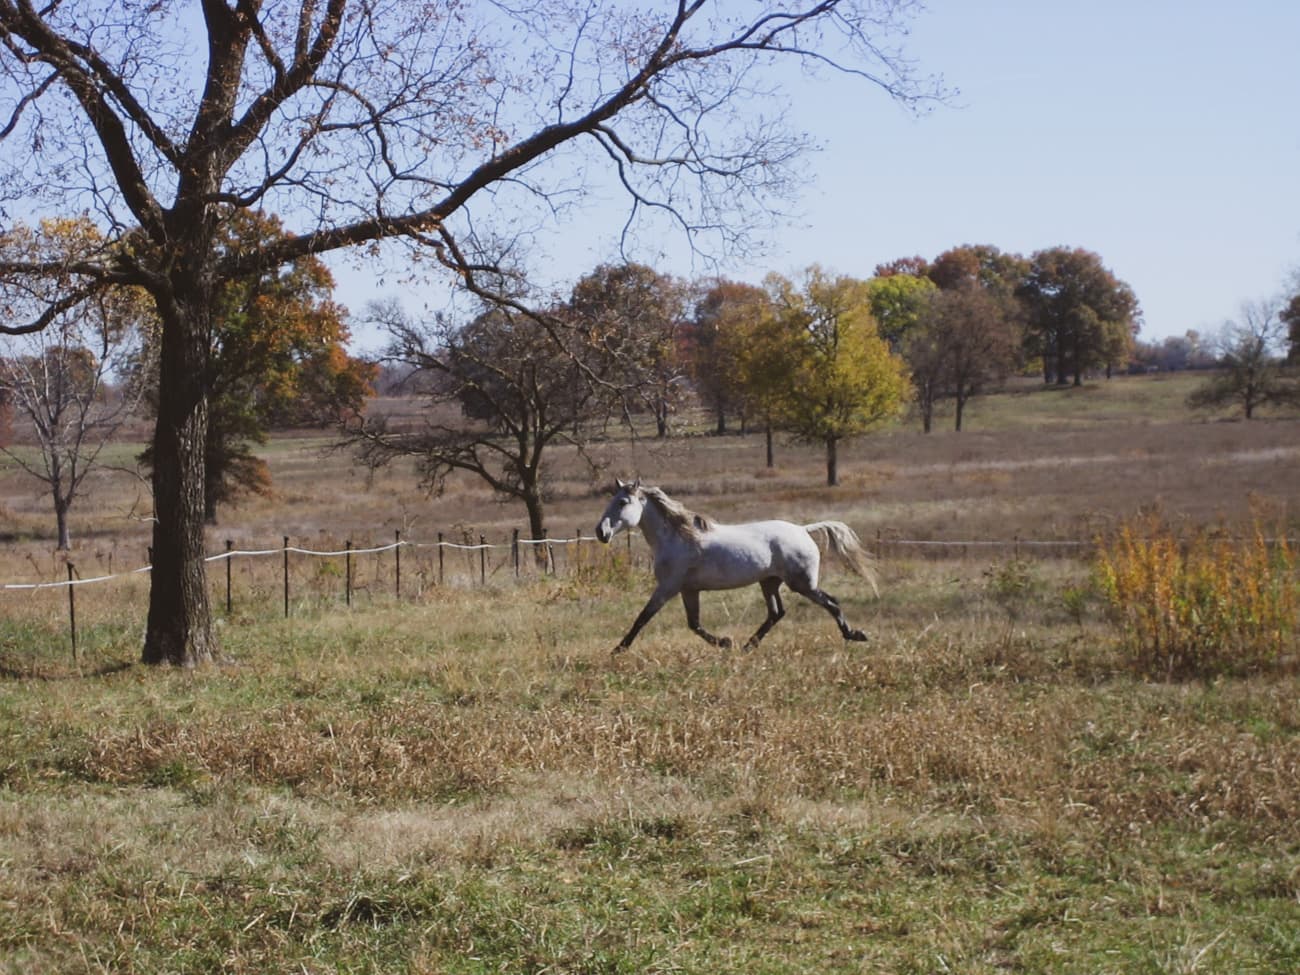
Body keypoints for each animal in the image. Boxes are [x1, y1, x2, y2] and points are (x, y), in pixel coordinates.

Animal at [595, 480, 878, 657]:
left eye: (623, 502)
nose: (601, 532)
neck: (678, 538)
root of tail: (802, 529)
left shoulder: (668, 588)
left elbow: (642, 618)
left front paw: (617, 650)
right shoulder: (688, 590)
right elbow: (694, 624)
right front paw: (726, 643)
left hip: (802, 583)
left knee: (831, 602)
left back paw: (854, 635)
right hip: (769, 582)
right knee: (776, 613)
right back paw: (747, 647)